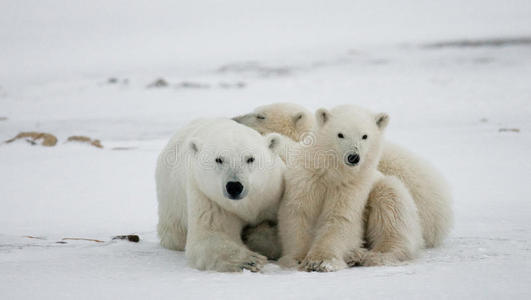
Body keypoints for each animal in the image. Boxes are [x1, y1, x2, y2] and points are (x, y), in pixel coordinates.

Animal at [155, 118, 284, 272]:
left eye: (250, 159)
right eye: (219, 159)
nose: (234, 186)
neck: (246, 204)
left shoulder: (272, 194)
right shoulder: (209, 197)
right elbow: (211, 235)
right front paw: (251, 260)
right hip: (171, 200)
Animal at [278, 106, 424, 272]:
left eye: (364, 136)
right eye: (340, 134)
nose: (353, 157)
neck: (332, 173)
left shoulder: (353, 186)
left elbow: (341, 218)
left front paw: (321, 261)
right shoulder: (307, 179)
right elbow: (299, 212)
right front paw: (297, 259)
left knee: (391, 206)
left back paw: (372, 255)